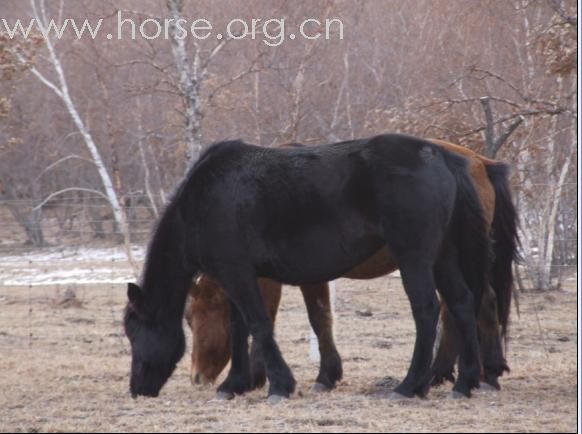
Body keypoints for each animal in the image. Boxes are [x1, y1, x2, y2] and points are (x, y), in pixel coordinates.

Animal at [126, 133, 492, 400]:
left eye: (135, 332)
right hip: (443, 257)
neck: (207, 197)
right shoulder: (241, 277)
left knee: (427, 311)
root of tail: (439, 154)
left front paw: (278, 385)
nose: (137, 389)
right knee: (461, 304)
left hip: (414, 259)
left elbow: (259, 324)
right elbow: (241, 326)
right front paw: (235, 384)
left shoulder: (238, 274)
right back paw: (464, 384)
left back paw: (408, 386)